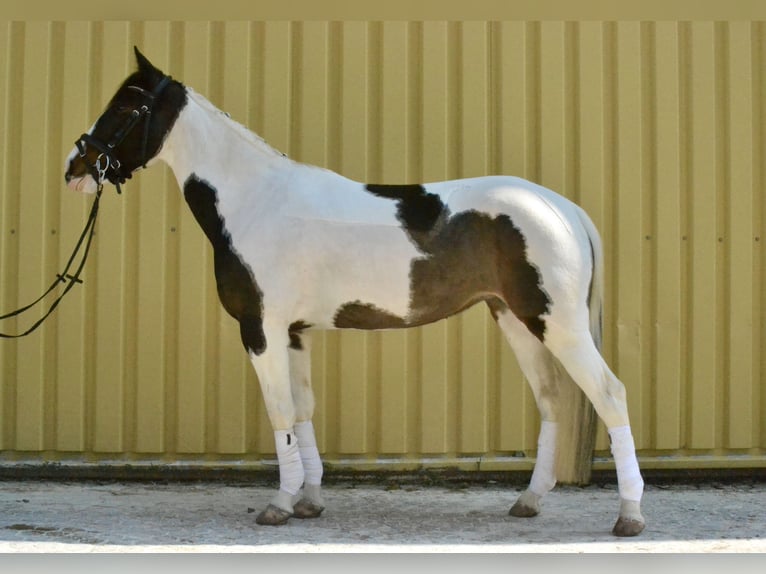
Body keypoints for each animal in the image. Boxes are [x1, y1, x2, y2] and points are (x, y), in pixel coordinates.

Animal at [64, 47, 645, 537]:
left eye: (127, 104)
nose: (76, 168)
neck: (254, 199)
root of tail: (562, 208)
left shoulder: (260, 329)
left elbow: (280, 412)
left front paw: (278, 505)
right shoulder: (294, 333)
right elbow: (302, 411)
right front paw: (308, 501)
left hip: (557, 325)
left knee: (610, 394)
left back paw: (629, 516)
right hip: (514, 318)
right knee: (551, 399)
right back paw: (529, 500)